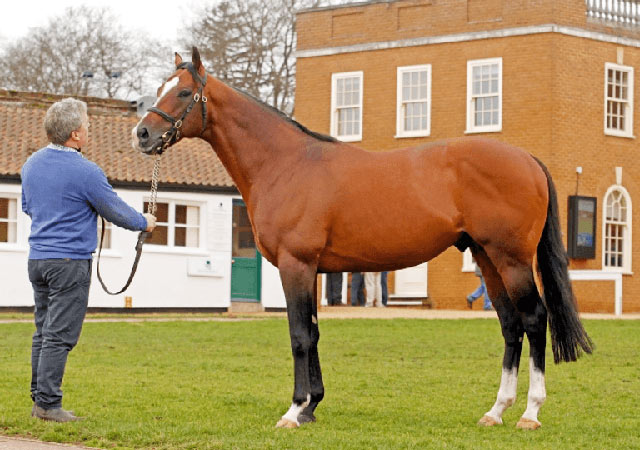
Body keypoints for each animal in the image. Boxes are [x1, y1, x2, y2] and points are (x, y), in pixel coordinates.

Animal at [132, 47, 592, 430]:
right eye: (160, 89)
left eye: (183, 92)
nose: (142, 134)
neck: (285, 163)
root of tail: (527, 158)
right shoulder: (313, 270)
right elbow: (314, 333)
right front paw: (313, 406)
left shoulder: (296, 265)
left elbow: (299, 336)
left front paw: (294, 411)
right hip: (486, 257)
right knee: (510, 325)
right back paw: (496, 410)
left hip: (511, 259)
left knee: (534, 319)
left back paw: (530, 413)